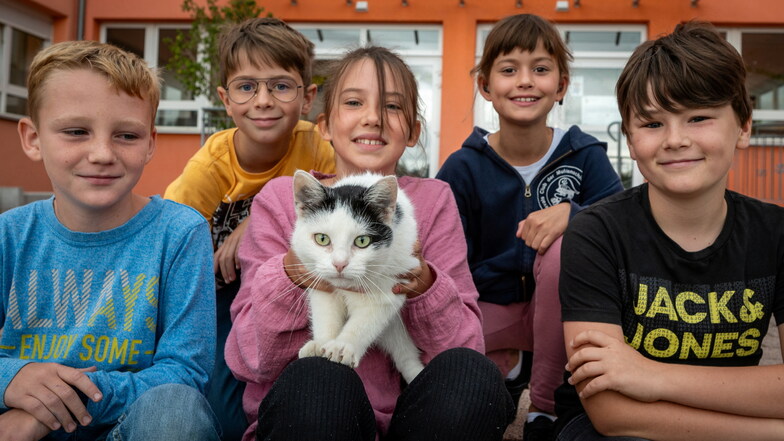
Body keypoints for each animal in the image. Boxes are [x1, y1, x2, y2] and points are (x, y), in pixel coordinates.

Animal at [290, 169, 426, 382]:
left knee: (406, 357)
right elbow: (325, 313)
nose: (339, 264)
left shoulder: (395, 279)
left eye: (362, 241)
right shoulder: (319, 283)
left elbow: (364, 322)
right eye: (322, 239)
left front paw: (343, 346)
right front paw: (321, 343)